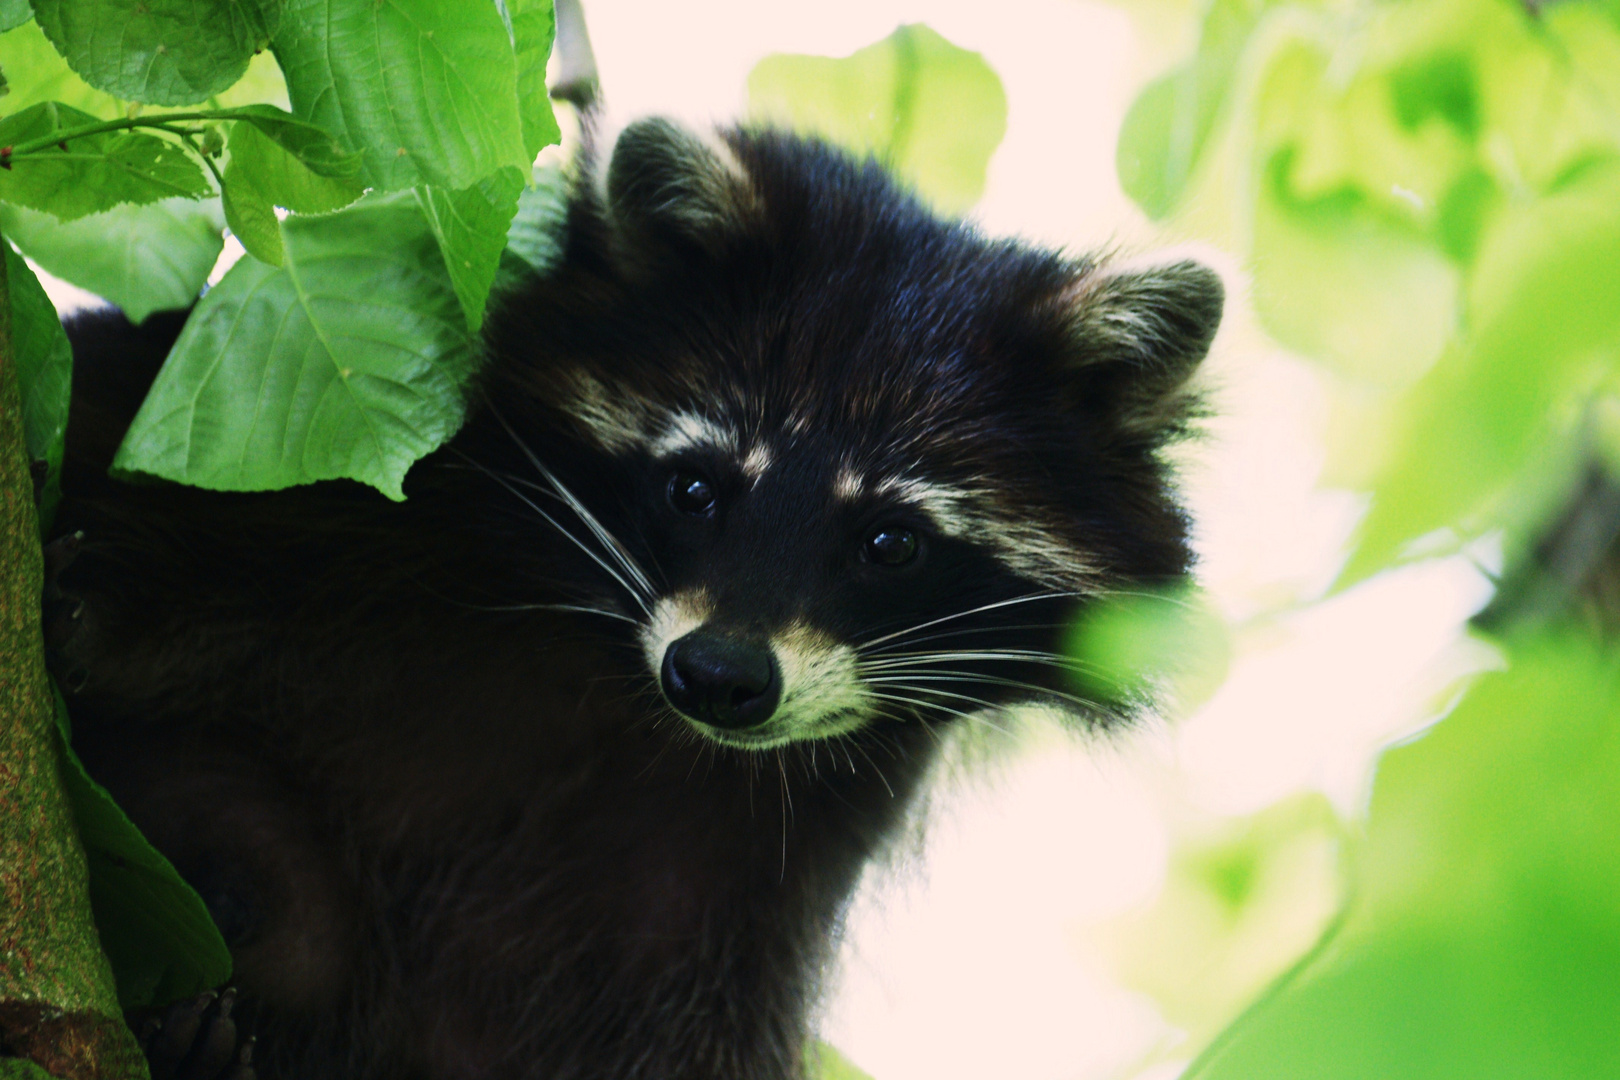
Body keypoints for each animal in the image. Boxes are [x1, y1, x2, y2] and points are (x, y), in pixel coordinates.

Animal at [47, 120, 1218, 1080]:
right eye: (696, 488)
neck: (627, 699)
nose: (719, 675)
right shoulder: (366, 512)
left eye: (892, 542)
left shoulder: (738, 873)